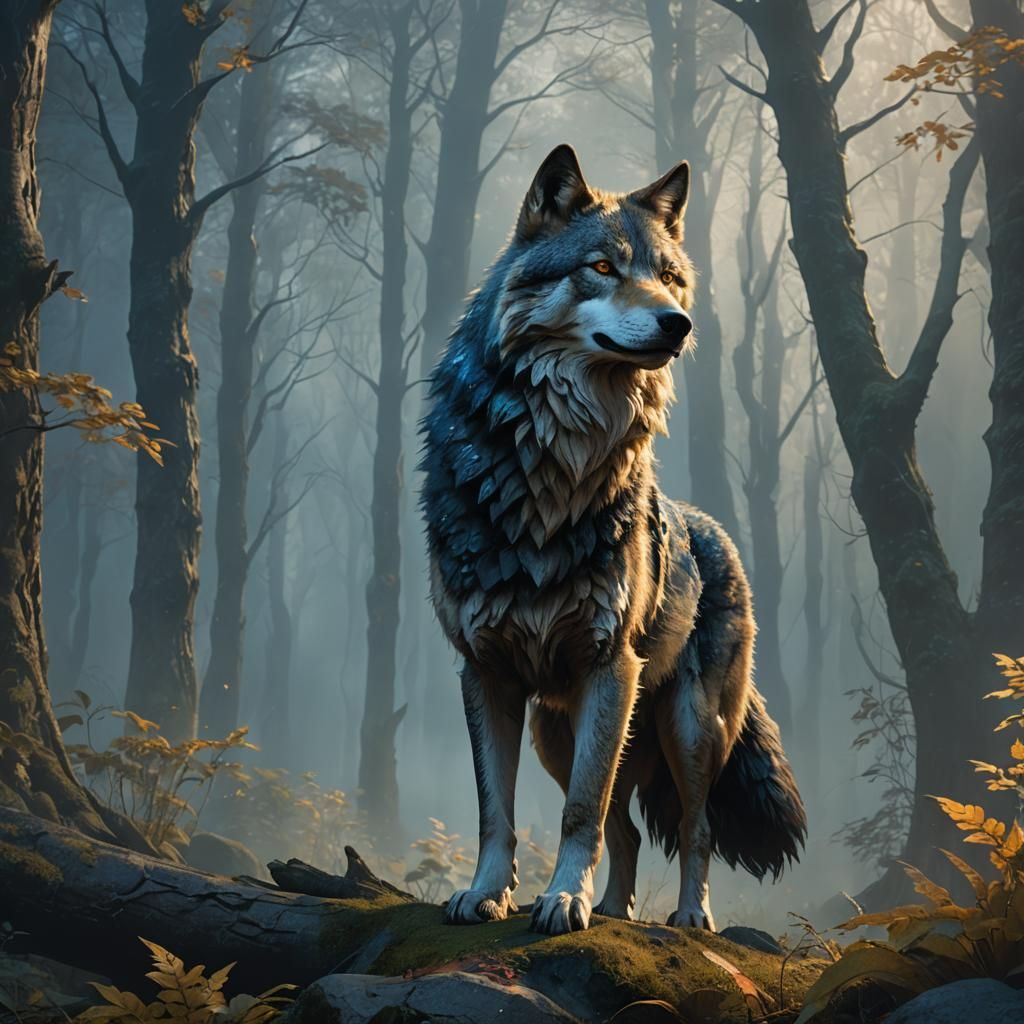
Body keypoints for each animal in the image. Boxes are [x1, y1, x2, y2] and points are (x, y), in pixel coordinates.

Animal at [420, 145, 805, 937]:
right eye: (602, 266)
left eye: (668, 275)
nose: (678, 323)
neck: (550, 471)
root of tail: (714, 530)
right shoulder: (485, 672)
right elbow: (496, 812)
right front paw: (488, 894)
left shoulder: (610, 665)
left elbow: (580, 813)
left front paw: (563, 899)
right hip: (560, 732)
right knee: (626, 828)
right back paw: (613, 909)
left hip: (686, 728)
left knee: (692, 827)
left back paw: (687, 916)